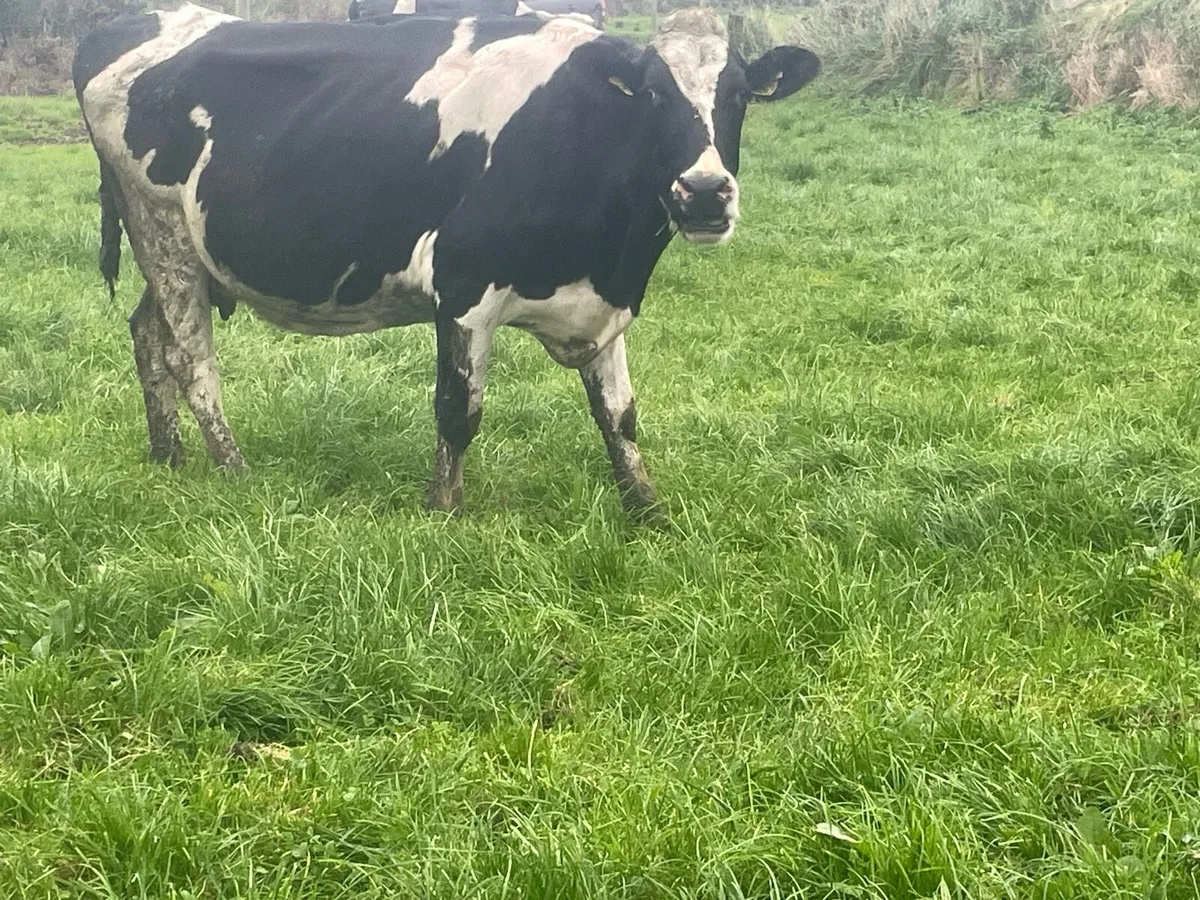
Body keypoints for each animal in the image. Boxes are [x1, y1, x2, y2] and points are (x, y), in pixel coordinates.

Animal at [72, 4, 819, 518]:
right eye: (656, 95)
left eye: (739, 96)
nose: (704, 192)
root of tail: (131, 23)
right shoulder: (463, 285)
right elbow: (459, 409)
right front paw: (443, 510)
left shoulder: (604, 306)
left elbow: (620, 415)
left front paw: (647, 510)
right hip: (163, 228)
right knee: (190, 357)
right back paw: (233, 469)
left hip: (175, 251)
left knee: (147, 336)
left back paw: (168, 457)